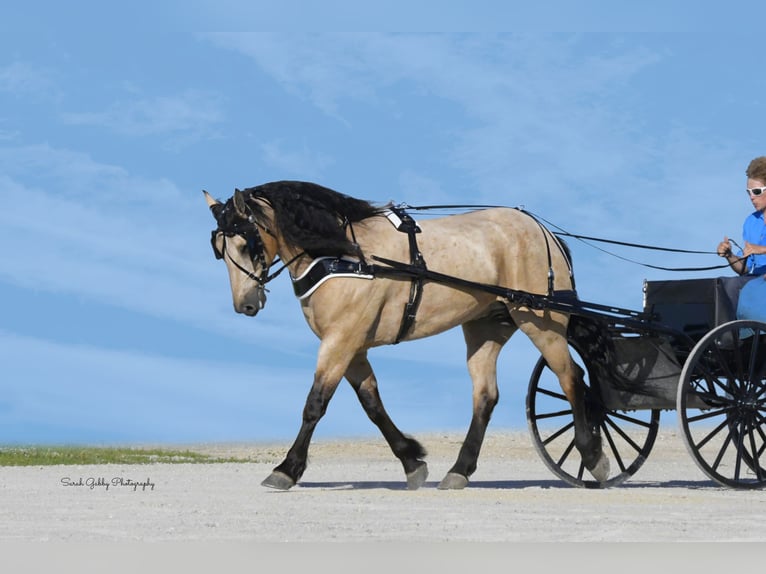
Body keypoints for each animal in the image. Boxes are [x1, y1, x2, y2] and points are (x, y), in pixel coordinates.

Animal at [206, 182, 612, 492]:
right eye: (219, 251)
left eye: (245, 244)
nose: (245, 304)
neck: (346, 257)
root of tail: (545, 232)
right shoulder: (352, 346)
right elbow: (372, 404)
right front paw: (411, 461)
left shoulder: (340, 341)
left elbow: (315, 403)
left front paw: (286, 469)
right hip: (485, 328)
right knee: (485, 397)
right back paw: (459, 471)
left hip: (541, 322)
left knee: (571, 379)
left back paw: (593, 456)